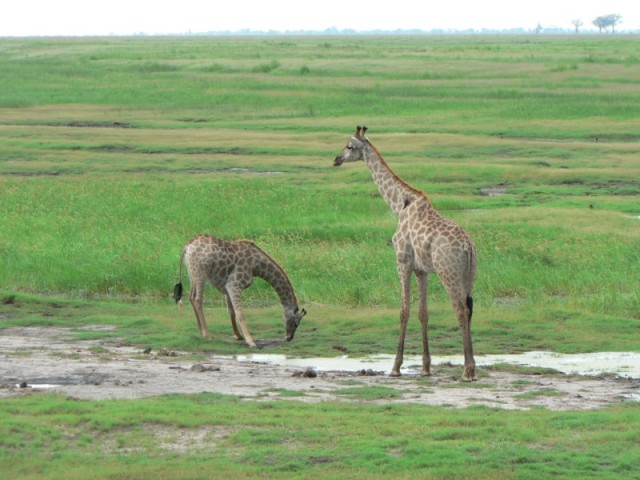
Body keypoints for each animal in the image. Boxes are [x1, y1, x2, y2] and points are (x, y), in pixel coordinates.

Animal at [174, 234, 306, 346]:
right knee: (198, 299)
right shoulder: (234, 285)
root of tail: (187, 246)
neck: (256, 266)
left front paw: (238, 336)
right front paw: (251, 341)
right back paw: (207, 335)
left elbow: (231, 311)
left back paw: (201, 332)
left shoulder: (227, 287)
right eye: (295, 323)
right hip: (201, 271)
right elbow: (240, 313)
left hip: (192, 273)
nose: (289, 338)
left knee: (191, 297)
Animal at [336, 127, 476, 382]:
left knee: (461, 311)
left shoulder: (402, 261)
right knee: (469, 310)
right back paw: (471, 367)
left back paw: (468, 371)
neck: (399, 205)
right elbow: (423, 312)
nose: (336, 159)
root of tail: (469, 247)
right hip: (469, 276)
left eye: (349, 146)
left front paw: (395, 367)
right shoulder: (422, 270)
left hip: (448, 274)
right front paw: (426, 367)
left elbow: (403, 310)